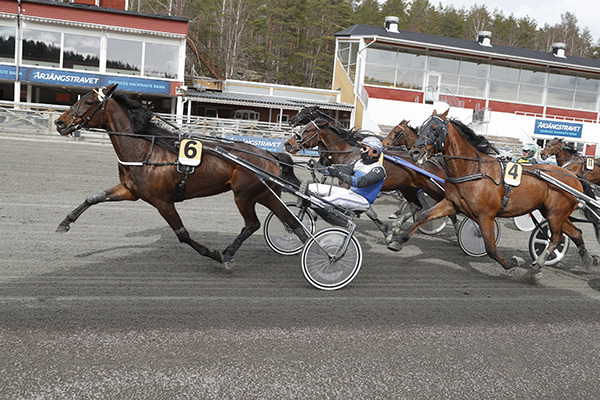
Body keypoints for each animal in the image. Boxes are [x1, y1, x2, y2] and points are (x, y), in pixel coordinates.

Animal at [54, 83, 308, 268]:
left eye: (88, 102)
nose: (59, 122)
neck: (145, 150)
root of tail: (269, 154)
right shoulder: (129, 191)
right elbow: (94, 197)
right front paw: (65, 222)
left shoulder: (162, 201)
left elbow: (182, 234)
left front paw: (212, 253)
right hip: (265, 194)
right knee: (290, 221)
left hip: (244, 195)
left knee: (252, 224)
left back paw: (227, 253)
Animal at [392, 109, 596, 278]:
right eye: (422, 128)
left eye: (434, 129)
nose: (415, 152)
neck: (473, 170)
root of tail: (573, 176)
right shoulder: (451, 203)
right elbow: (423, 216)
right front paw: (397, 240)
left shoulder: (486, 216)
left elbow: (490, 247)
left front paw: (512, 262)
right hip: (554, 213)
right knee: (576, 233)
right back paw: (588, 259)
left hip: (555, 213)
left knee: (557, 237)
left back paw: (537, 266)